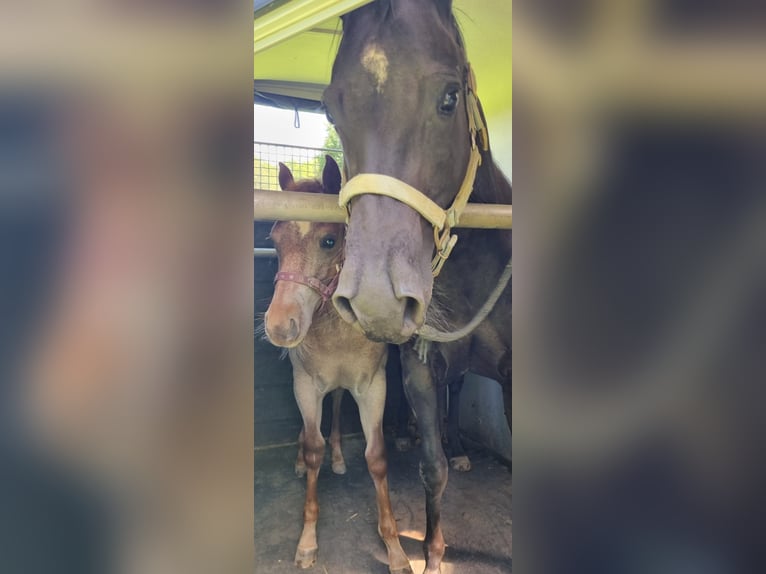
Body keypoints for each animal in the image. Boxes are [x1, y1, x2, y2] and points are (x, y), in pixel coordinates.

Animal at [264, 158, 414, 574]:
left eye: (329, 240)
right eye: (275, 239)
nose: (279, 327)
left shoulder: (373, 387)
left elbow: (376, 458)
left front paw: (395, 549)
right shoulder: (305, 384)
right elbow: (312, 446)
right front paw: (307, 542)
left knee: (334, 408)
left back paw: (338, 457)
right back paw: (302, 460)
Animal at [326, 2, 512, 572]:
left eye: (450, 96)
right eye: (330, 110)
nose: (376, 299)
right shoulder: (421, 367)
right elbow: (434, 469)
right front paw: (432, 555)